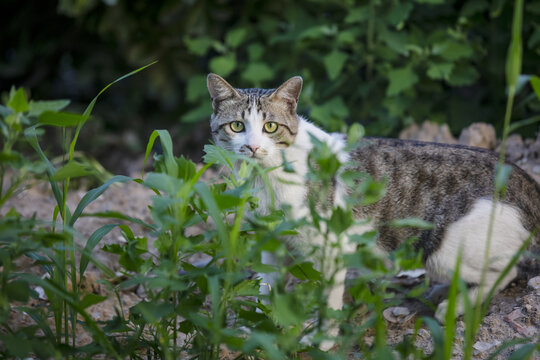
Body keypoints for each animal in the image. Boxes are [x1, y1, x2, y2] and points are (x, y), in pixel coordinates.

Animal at [206, 72, 540, 348]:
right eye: (237, 126)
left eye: (270, 127)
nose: (252, 147)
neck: (265, 179)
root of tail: (524, 181)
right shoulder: (270, 241)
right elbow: (266, 287)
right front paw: (260, 329)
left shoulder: (332, 247)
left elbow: (329, 303)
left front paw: (322, 343)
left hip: (443, 251)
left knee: (506, 271)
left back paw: (455, 303)